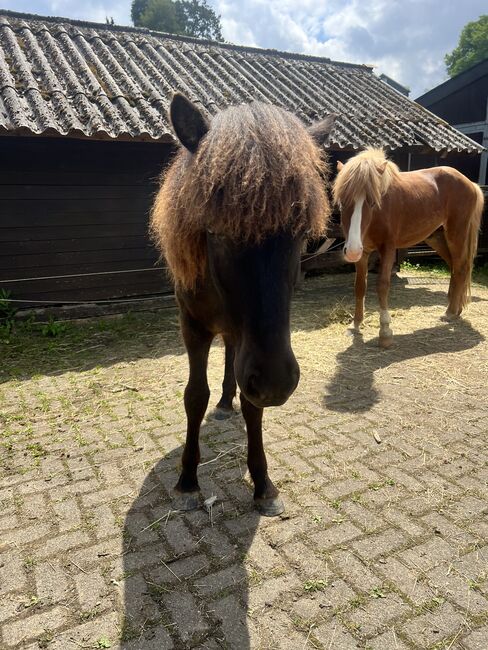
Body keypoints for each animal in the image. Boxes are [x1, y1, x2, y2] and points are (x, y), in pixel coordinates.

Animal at [152, 93, 336, 512]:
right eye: (218, 232)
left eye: (302, 234)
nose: (276, 383)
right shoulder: (192, 327)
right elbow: (194, 396)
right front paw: (188, 480)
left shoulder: (249, 346)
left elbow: (253, 406)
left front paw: (263, 483)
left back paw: (227, 402)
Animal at [334, 149, 482, 346]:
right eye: (342, 201)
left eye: (372, 202)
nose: (351, 251)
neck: (377, 214)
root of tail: (470, 183)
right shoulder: (362, 251)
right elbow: (360, 286)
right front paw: (356, 324)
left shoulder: (388, 248)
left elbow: (383, 285)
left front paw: (385, 331)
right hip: (437, 237)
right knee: (454, 267)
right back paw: (455, 308)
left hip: (457, 233)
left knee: (461, 268)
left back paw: (450, 312)